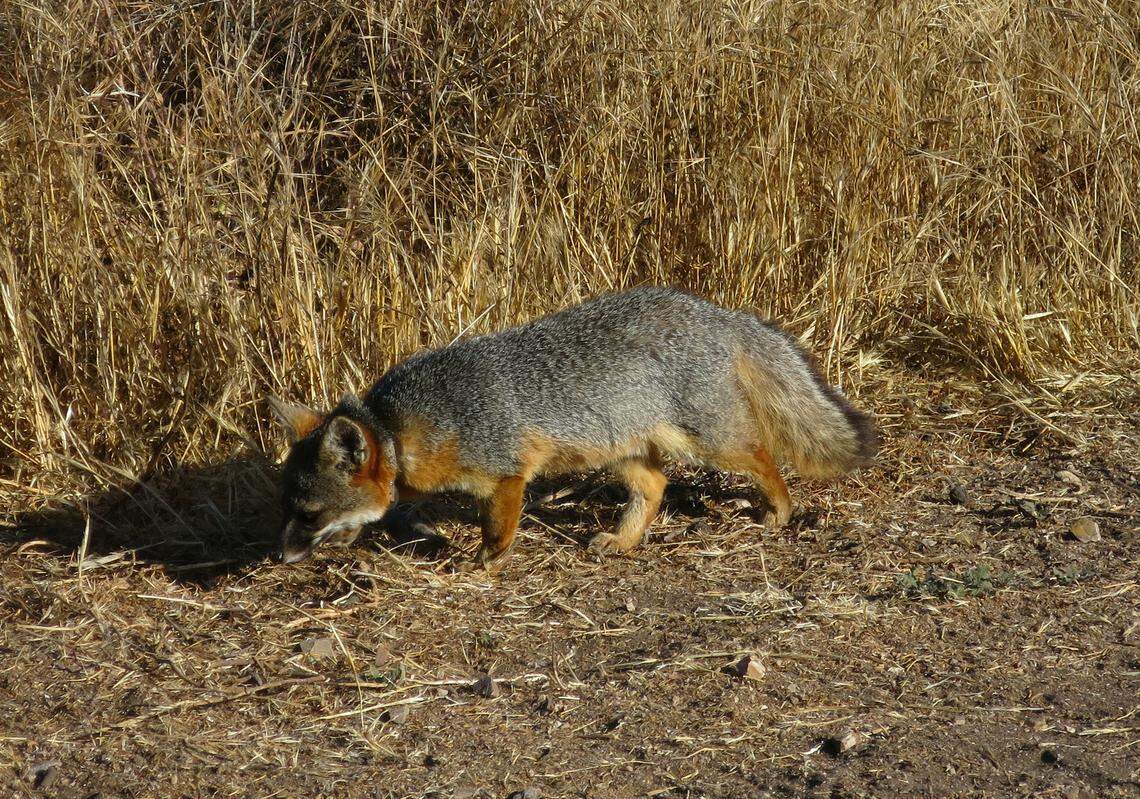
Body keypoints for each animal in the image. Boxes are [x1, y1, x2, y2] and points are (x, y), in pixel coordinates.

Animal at [268, 286, 876, 567]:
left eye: (308, 514)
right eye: (291, 512)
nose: (281, 556)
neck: (398, 425)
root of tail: (717, 312)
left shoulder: (508, 472)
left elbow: (498, 523)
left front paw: (487, 560)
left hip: (710, 441)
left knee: (762, 455)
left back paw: (780, 511)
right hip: (626, 449)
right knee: (656, 486)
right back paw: (624, 540)